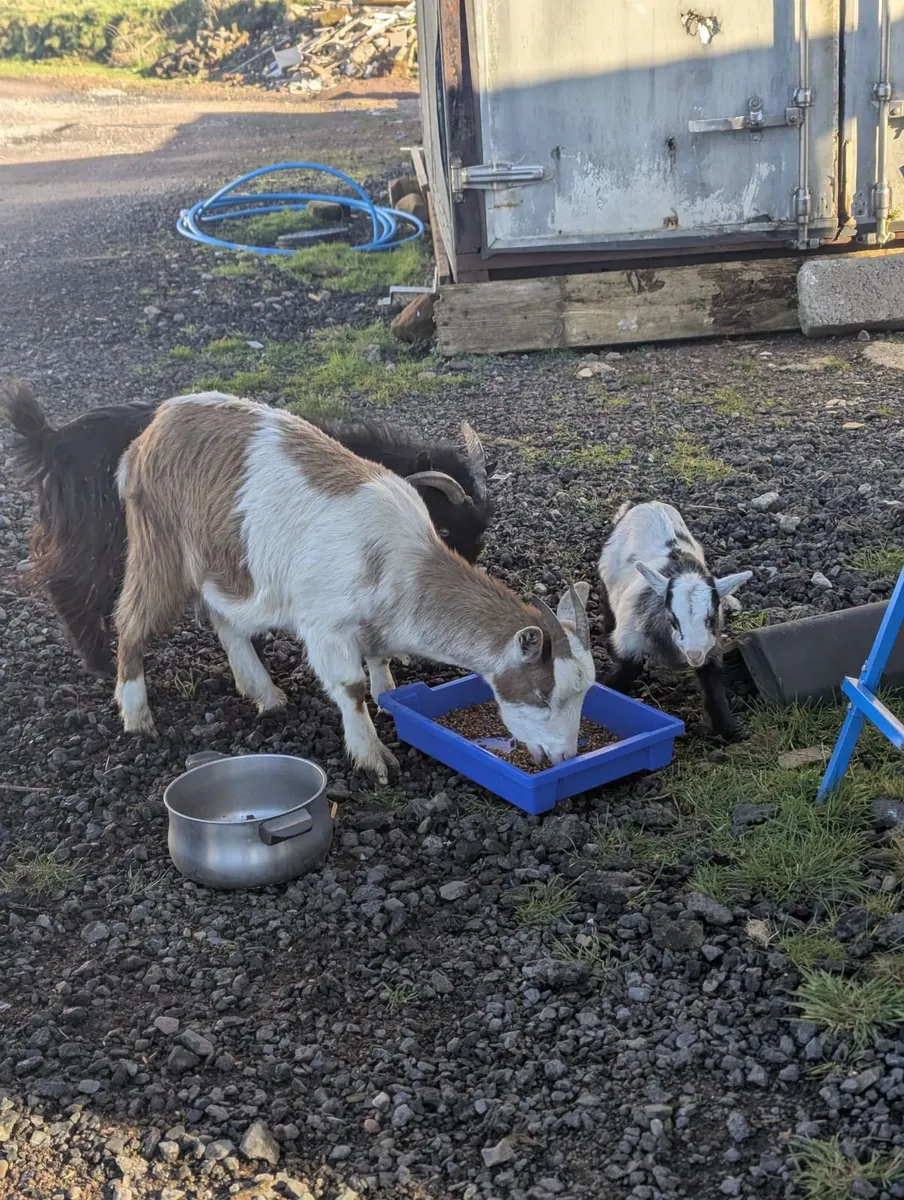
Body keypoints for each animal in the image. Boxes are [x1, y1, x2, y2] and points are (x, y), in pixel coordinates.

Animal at [3, 381, 492, 678]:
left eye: (478, 540)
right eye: (445, 530)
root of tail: (52, 440)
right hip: (106, 539)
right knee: (70, 587)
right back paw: (102, 663)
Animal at [109, 392, 594, 781]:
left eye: (583, 693)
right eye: (541, 695)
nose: (565, 756)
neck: (402, 561)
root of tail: (155, 427)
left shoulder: (374, 622)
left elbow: (378, 659)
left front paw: (388, 696)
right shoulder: (326, 626)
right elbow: (349, 688)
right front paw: (372, 756)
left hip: (225, 564)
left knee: (226, 620)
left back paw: (265, 694)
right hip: (160, 547)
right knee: (131, 622)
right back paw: (137, 717)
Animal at [597, 501, 751, 740]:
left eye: (711, 618)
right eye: (672, 619)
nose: (694, 654)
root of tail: (648, 504)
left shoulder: (711, 648)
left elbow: (712, 686)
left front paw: (726, 733)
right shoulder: (628, 641)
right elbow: (628, 669)